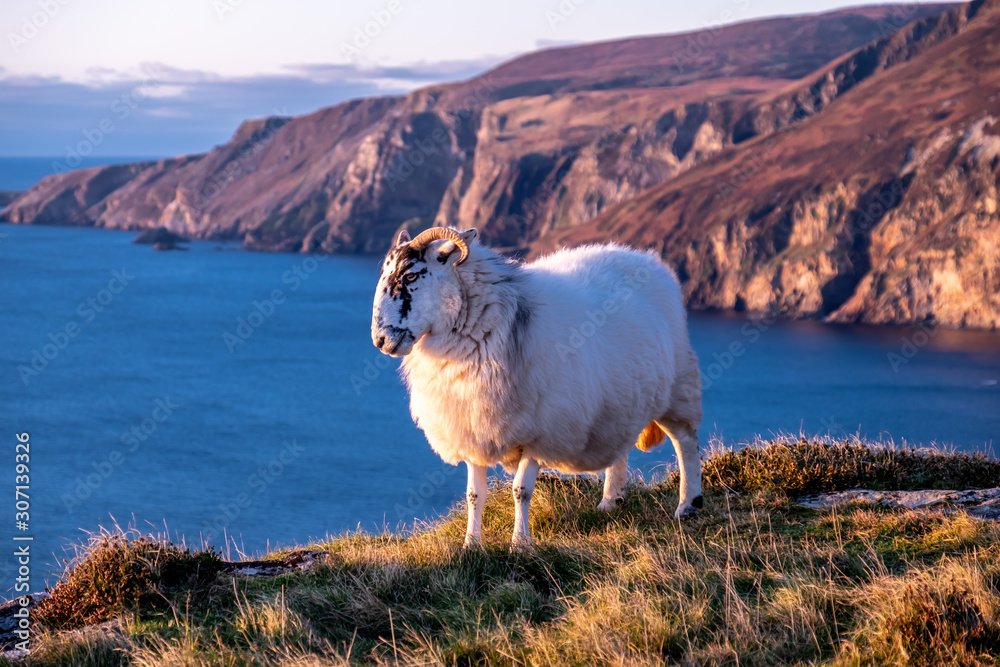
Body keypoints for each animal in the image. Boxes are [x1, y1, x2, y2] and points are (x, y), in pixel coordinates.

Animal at [371, 227, 703, 547]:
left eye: (410, 276)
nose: (379, 340)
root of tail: (646, 259)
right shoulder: (472, 429)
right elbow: (474, 495)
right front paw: (471, 545)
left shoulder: (539, 431)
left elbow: (521, 491)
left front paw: (520, 544)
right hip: (621, 399)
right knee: (622, 444)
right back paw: (611, 500)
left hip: (678, 387)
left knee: (685, 440)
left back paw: (688, 505)